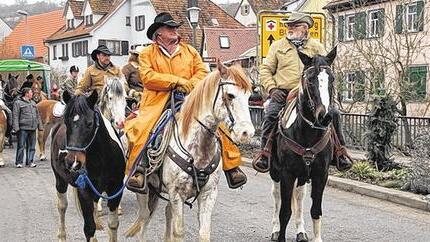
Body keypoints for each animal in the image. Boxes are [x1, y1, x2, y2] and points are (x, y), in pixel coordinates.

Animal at [123, 63, 255, 241]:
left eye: (249, 96)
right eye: (230, 95)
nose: (247, 133)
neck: (198, 150)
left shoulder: (208, 194)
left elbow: (204, 233)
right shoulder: (177, 194)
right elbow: (179, 232)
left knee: (166, 213)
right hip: (144, 191)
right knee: (144, 217)